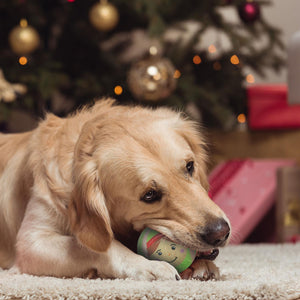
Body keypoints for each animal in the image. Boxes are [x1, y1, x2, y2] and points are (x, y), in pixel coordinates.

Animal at [0, 99, 230, 280]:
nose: (221, 233)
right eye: (149, 195)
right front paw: (148, 265)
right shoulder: (31, 241)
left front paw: (199, 265)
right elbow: (91, 246)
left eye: (190, 166)